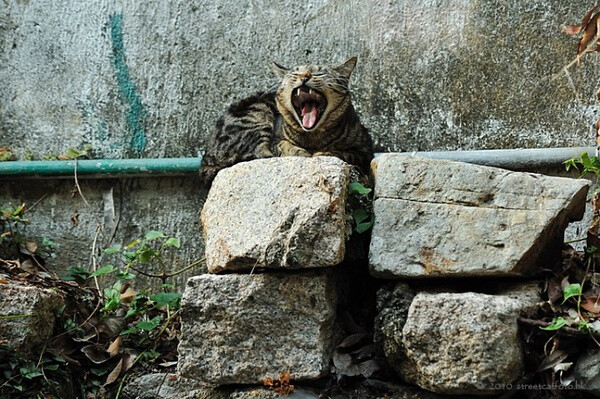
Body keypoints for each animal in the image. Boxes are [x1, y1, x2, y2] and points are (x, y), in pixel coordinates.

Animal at [199, 56, 372, 184]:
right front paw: (302, 152)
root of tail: (205, 161)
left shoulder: (364, 151)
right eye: (295, 74)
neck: (313, 138)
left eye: (320, 74)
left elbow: (342, 152)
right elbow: (282, 145)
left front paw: (323, 153)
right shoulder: (276, 138)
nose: (305, 76)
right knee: (260, 152)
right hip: (257, 113)